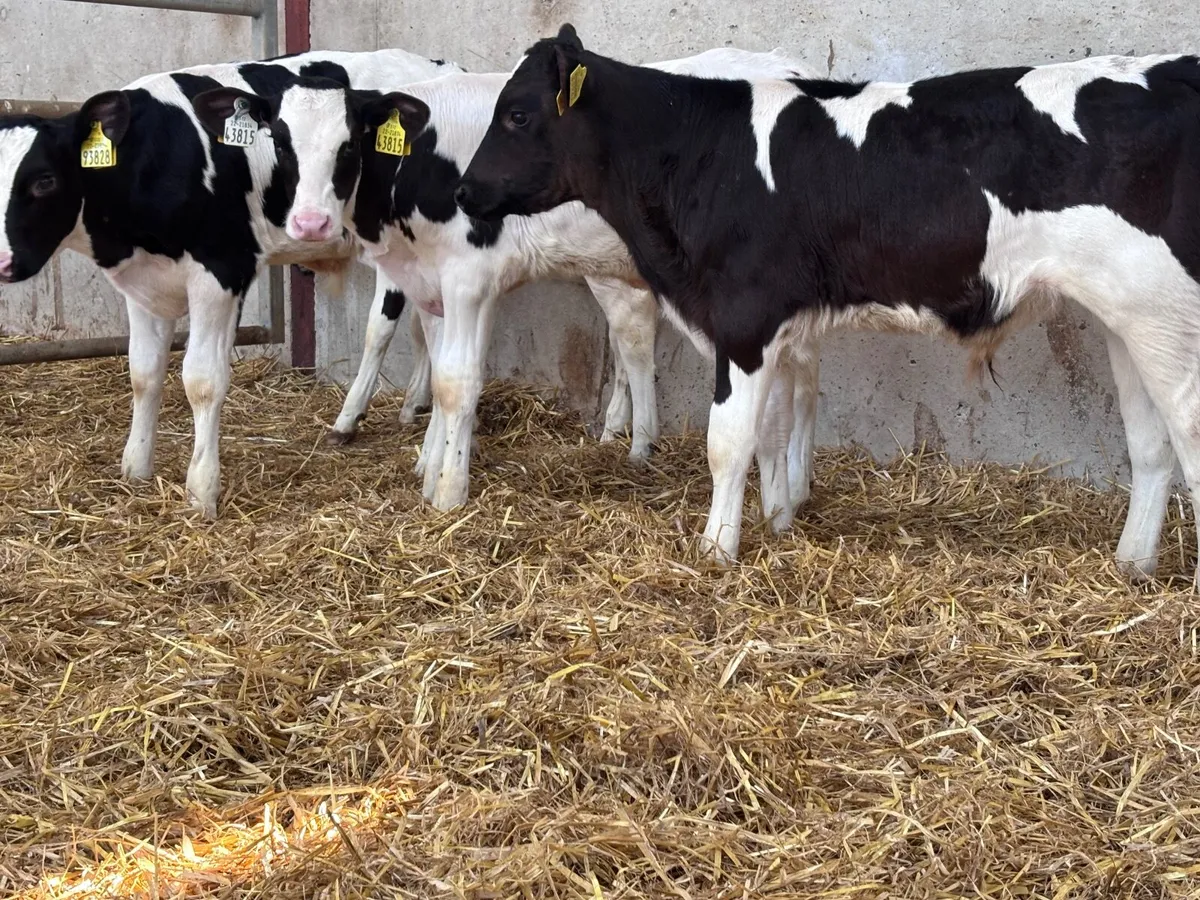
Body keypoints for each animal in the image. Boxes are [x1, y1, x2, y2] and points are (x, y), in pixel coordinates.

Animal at [0, 49, 456, 517]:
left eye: (44, 181)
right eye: (277, 142)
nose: (2, 261)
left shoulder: (221, 271)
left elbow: (202, 380)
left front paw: (201, 489)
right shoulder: (142, 283)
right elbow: (143, 372)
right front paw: (136, 467)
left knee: (382, 326)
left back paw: (351, 419)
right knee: (422, 326)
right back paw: (412, 403)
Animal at [193, 47, 818, 512]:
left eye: (349, 142)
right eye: (279, 139)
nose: (310, 222)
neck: (423, 162)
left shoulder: (468, 279)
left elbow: (457, 381)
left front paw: (448, 491)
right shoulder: (434, 284)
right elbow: (441, 370)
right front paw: (430, 466)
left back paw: (787, 489)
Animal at [456, 24, 1200, 581]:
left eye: (517, 112)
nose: (463, 191)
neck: (696, 153)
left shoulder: (744, 317)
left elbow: (728, 441)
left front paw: (717, 549)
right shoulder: (779, 326)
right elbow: (772, 432)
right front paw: (776, 521)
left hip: (1165, 312)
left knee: (1186, 433)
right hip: (1127, 317)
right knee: (1150, 445)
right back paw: (1131, 564)